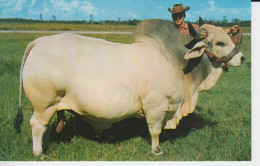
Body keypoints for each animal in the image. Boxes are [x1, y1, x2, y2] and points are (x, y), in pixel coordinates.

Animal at [14, 18, 245, 156]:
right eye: (220, 43)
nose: (242, 57)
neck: (175, 60)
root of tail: (40, 41)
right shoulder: (156, 106)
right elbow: (154, 131)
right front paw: (157, 151)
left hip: (51, 105)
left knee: (44, 126)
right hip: (44, 103)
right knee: (37, 125)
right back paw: (39, 153)